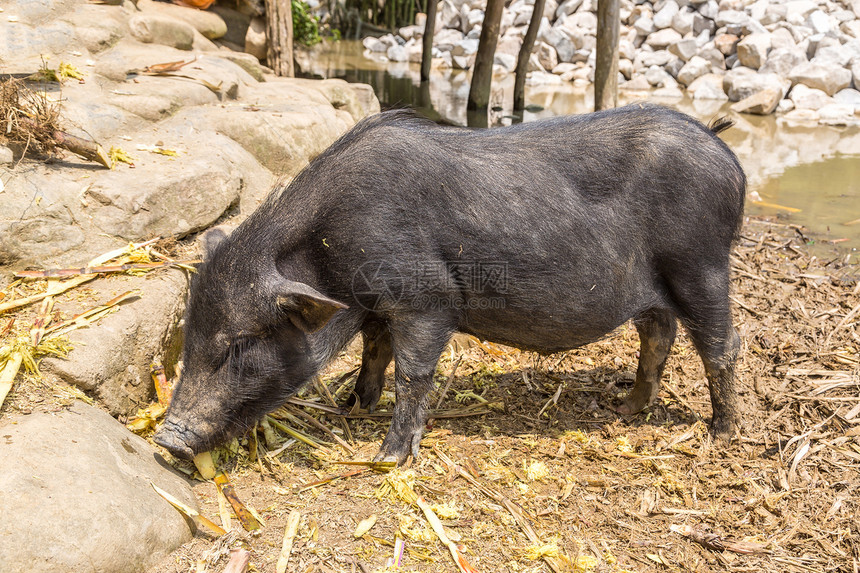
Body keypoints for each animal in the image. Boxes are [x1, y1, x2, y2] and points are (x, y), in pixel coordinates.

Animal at [155, 104, 744, 464]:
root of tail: (727, 157)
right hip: (661, 287)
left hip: (702, 265)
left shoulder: (427, 300)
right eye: (191, 336)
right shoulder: (376, 306)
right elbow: (374, 350)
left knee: (723, 344)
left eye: (238, 345)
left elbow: (413, 373)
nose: (166, 437)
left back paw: (720, 435)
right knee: (658, 334)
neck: (329, 252)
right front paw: (352, 405)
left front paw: (387, 457)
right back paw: (627, 409)